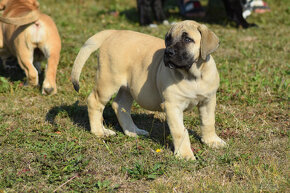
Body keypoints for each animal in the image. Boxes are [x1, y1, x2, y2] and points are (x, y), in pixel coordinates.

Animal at [70, 20, 227, 160]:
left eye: (187, 39)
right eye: (168, 39)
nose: (168, 52)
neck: (193, 76)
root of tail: (114, 32)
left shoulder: (208, 101)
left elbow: (208, 122)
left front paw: (212, 141)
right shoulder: (172, 106)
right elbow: (180, 131)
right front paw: (184, 154)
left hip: (129, 87)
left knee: (120, 105)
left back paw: (133, 131)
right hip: (108, 80)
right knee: (94, 102)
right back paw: (99, 131)